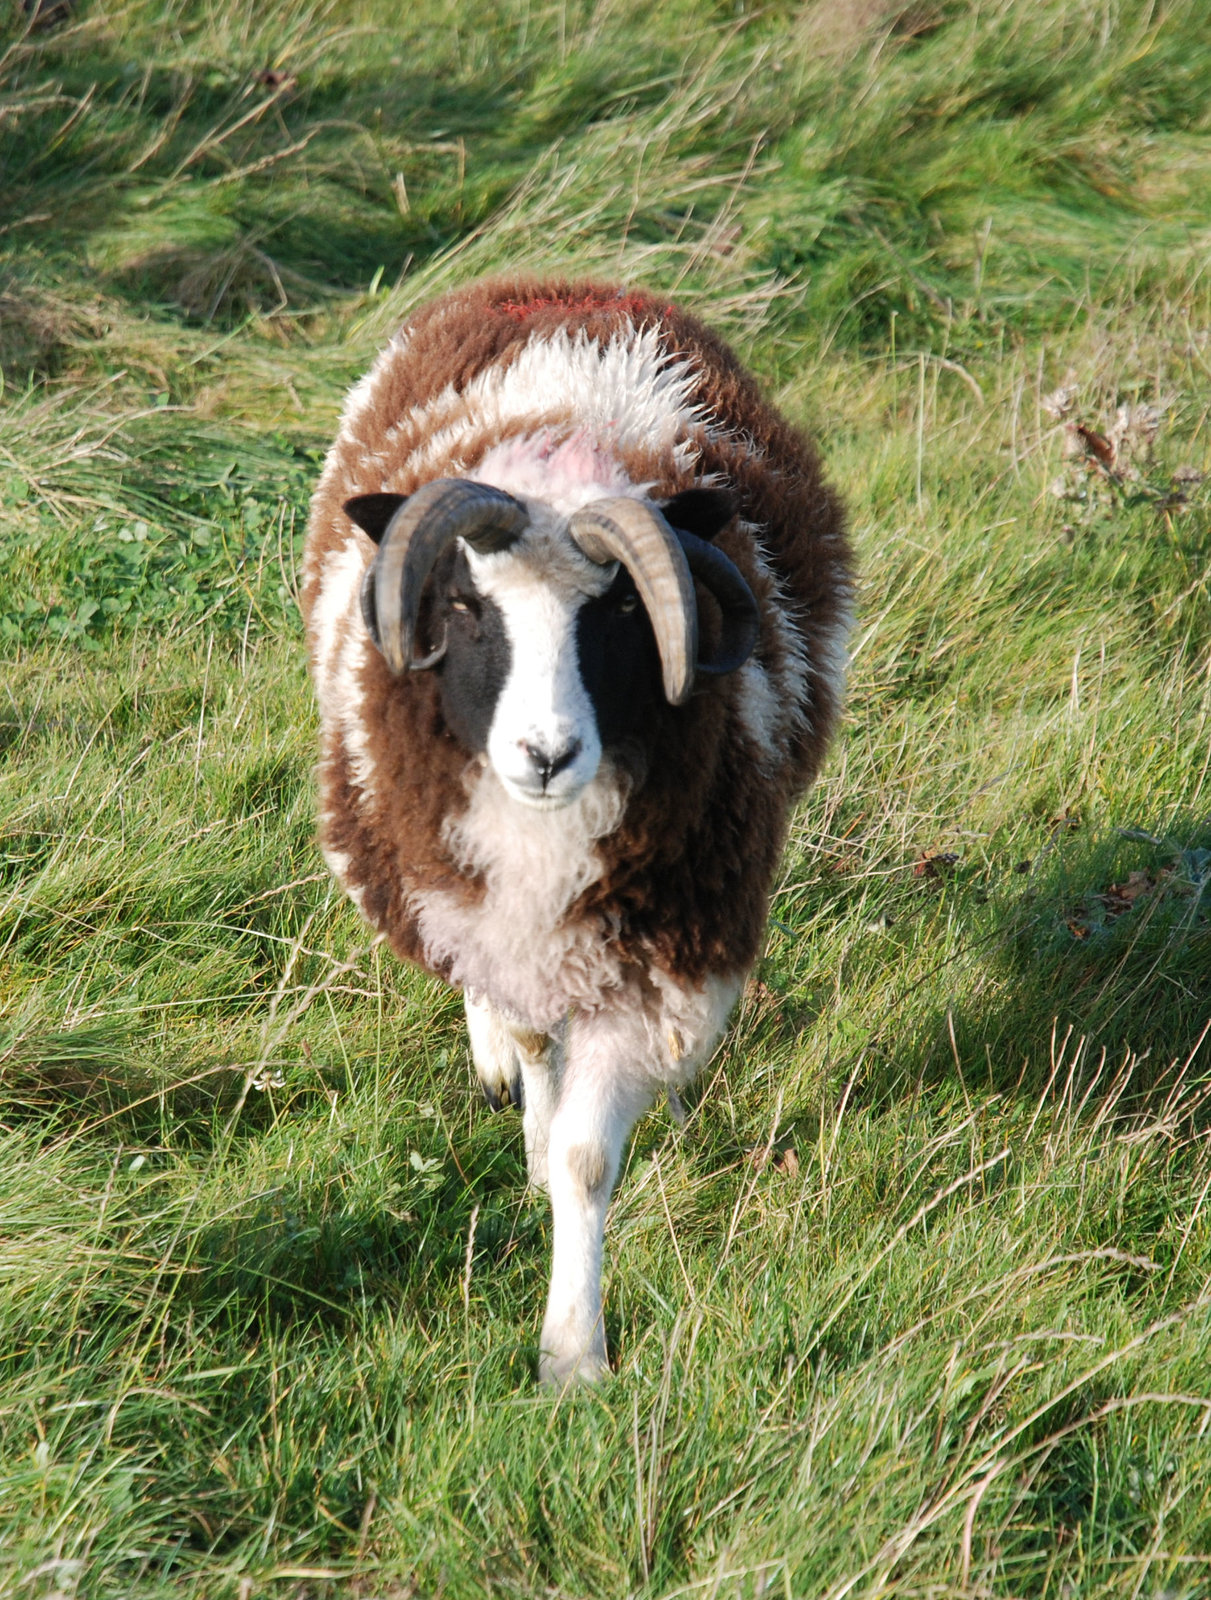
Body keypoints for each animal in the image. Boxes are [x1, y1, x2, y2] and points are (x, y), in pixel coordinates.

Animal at [302, 278, 851, 1388]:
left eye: (621, 619)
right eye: (464, 606)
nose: (545, 754)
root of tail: (565, 287)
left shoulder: (674, 943)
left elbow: (589, 1158)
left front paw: (572, 1355)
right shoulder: (489, 909)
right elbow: (533, 1055)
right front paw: (528, 1120)